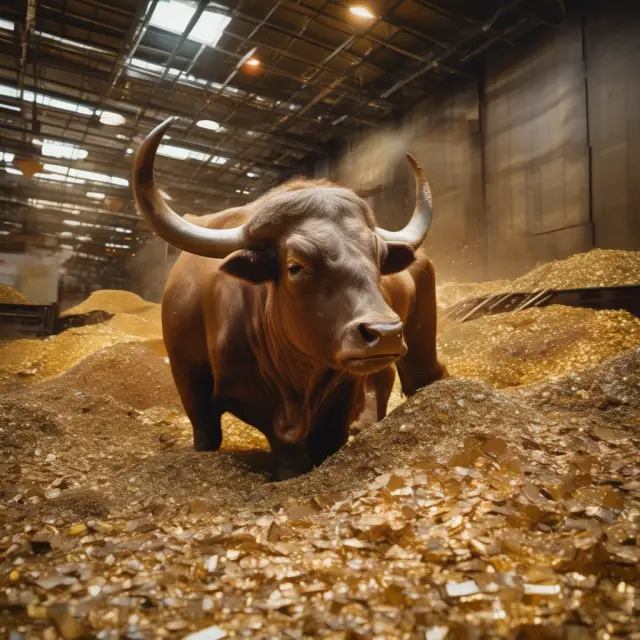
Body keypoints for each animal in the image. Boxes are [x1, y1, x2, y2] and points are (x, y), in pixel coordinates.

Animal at [132, 117, 446, 478]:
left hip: (419, 344)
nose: (385, 333)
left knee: (421, 377)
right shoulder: (191, 384)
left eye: (379, 259)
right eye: (295, 266)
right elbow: (220, 437)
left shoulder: (339, 394)